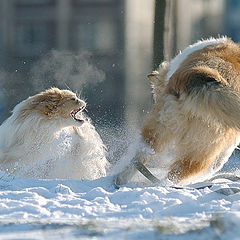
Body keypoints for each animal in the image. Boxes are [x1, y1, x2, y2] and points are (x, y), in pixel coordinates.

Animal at [116, 36, 240, 185]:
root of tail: (198, 79)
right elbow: (220, 160)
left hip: (161, 130)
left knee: (142, 155)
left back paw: (120, 179)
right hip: (203, 148)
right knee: (175, 175)